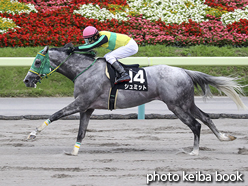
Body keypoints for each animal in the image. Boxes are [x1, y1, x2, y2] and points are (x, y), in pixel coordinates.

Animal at [23, 44, 246, 155]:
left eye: (37, 61)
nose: (27, 80)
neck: (84, 70)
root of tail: (184, 71)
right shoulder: (88, 107)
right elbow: (81, 131)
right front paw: (74, 152)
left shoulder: (81, 102)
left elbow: (55, 114)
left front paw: (32, 134)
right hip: (186, 102)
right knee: (206, 117)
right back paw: (224, 137)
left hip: (176, 106)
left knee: (196, 124)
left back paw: (195, 151)